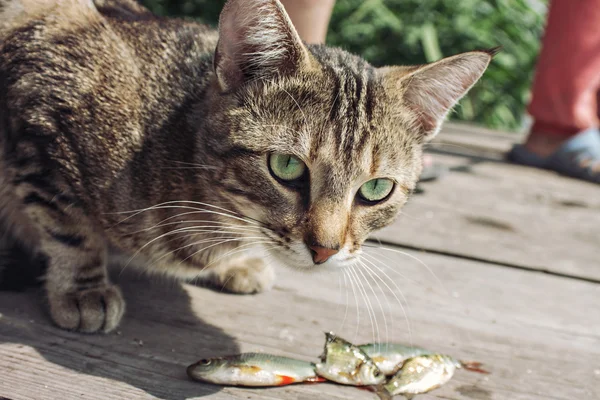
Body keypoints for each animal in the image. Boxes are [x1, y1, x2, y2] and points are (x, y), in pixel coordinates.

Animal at [0, 0, 492, 332]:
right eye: (286, 166)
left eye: (376, 190)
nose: (325, 250)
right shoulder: (43, 108)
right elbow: (70, 225)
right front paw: (82, 288)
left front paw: (237, 264)